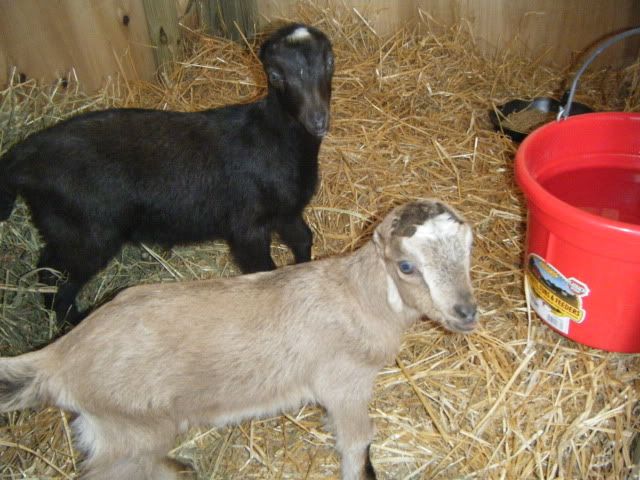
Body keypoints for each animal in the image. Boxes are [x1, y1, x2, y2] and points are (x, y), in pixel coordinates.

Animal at [0, 23, 334, 326]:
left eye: (329, 63)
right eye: (276, 75)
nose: (317, 120)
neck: (275, 137)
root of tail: (23, 157)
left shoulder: (286, 211)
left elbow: (303, 240)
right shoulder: (247, 226)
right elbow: (263, 269)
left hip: (64, 230)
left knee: (46, 269)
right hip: (86, 233)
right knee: (60, 282)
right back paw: (75, 322)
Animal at [0, 199, 478, 480]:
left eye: (468, 250)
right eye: (406, 266)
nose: (466, 313)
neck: (359, 297)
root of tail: (59, 357)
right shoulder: (345, 386)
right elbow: (356, 445)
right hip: (129, 429)